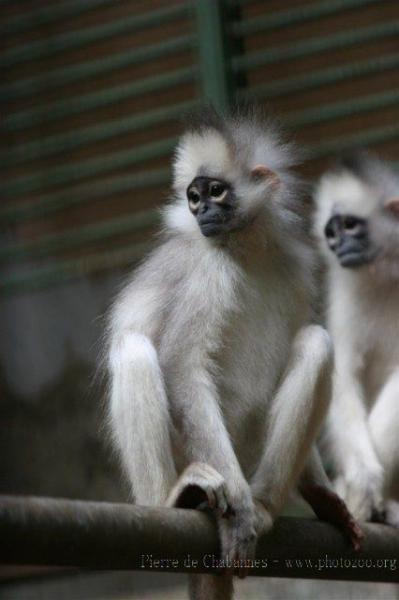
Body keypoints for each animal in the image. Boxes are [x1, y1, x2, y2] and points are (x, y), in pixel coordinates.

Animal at [106, 109, 362, 600]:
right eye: (192, 197)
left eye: (216, 191)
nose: (202, 211)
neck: (244, 250)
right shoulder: (208, 270)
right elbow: (182, 366)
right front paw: (240, 515)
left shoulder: (295, 264)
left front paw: (320, 494)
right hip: (203, 455)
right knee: (133, 348)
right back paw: (177, 500)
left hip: (249, 447)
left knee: (315, 341)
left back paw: (263, 504)